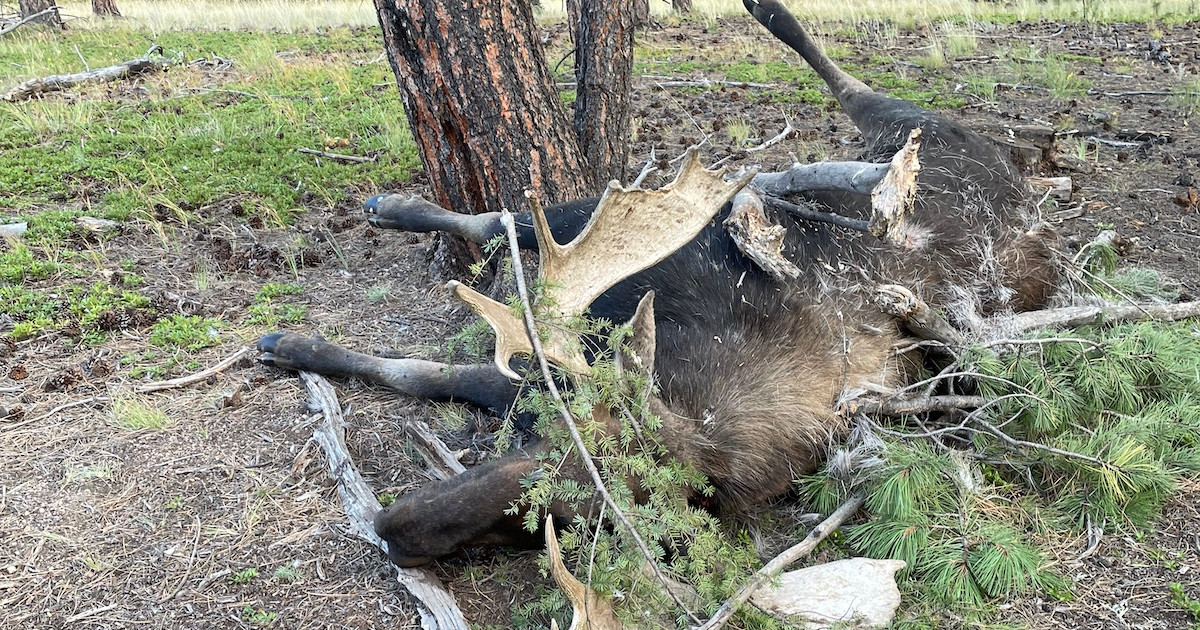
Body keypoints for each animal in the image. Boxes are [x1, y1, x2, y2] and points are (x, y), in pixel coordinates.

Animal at [256, 0, 1058, 571]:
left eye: (563, 521)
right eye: (534, 439)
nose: (390, 528)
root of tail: (1024, 186)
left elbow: (433, 373)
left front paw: (298, 346)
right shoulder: (562, 359)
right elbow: (430, 364)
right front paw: (293, 344)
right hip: (892, 140)